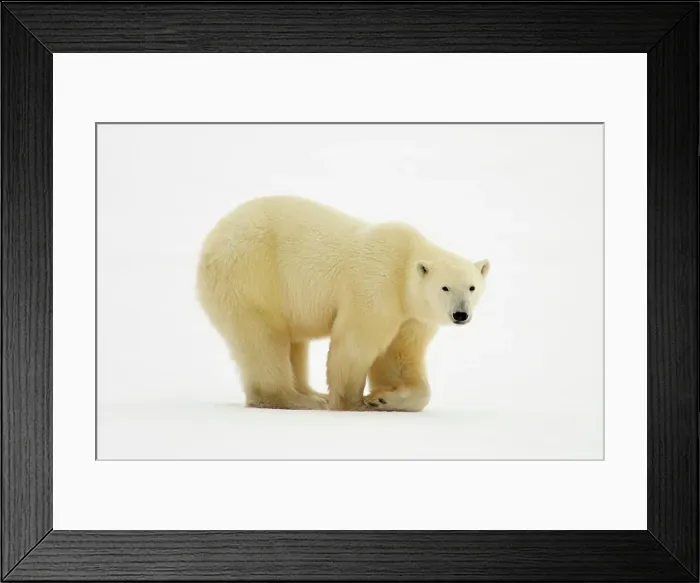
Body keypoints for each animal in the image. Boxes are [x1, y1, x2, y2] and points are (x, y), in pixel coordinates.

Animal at [196, 195, 489, 412]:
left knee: (292, 343)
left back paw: (310, 392)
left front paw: (384, 398)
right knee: (264, 339)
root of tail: (209, 243)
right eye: (445, 287)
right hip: (252, 277)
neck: (404, 262)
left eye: (472, 287)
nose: (460, 314)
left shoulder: (413, 316)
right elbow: (355, 344)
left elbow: (399, 356)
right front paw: (352, 402)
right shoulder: (376, 285)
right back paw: (300, 400)